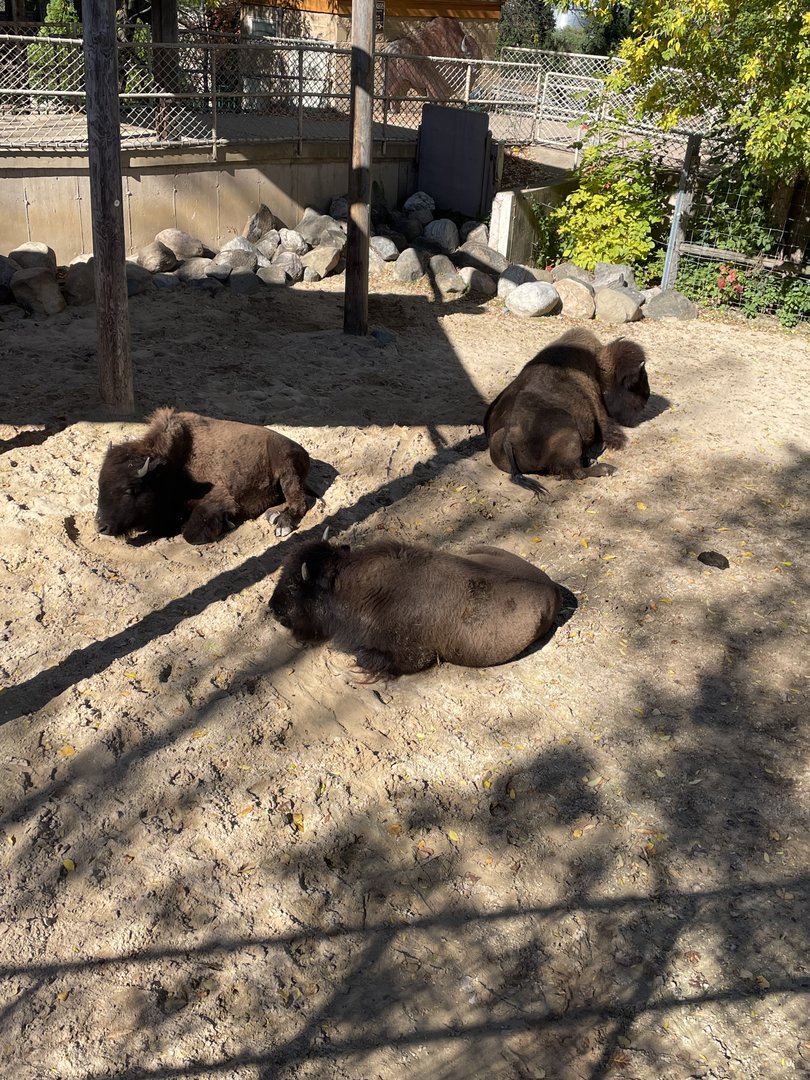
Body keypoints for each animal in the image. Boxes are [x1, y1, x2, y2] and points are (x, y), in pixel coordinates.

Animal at [96, 408, 312, 544]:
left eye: (130, 490)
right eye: (100, 485)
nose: (101, 527)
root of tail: (302, 451)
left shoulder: (218, 500)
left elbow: (190, 534)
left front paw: (226, 524)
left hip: (287, 471)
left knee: (299, 503)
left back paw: (281, 525)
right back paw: (273, 515)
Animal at [484, 328, 650, 495]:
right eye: (635, 384)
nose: (646, 400)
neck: (599, 368)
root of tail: (508, 437)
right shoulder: (599, 410)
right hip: (570, 432)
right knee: (576, 472)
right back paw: (608, 468)